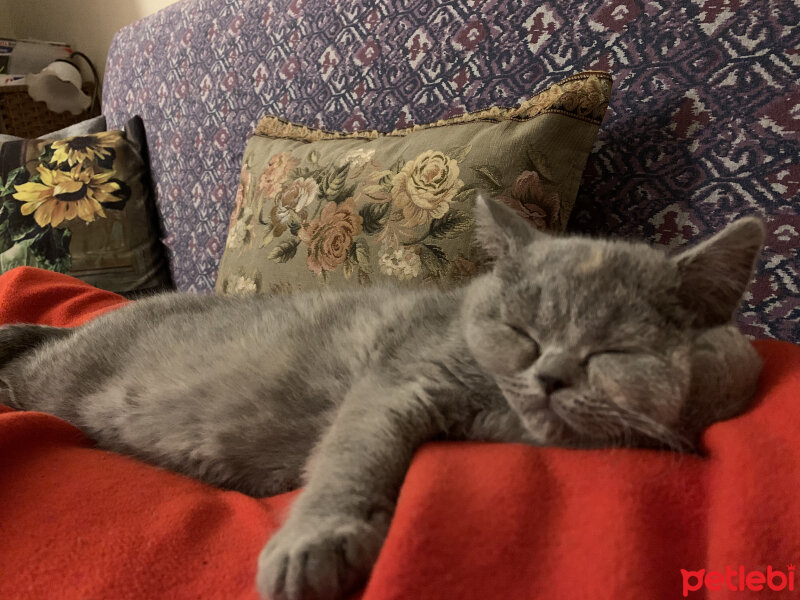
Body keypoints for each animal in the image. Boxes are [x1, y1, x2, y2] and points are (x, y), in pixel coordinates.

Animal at [0, 197, 764, 600]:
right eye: (521, 332)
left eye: (612, 353)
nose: (550, 376)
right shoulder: (400, 377)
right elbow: (353, 453)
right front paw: (311, 549)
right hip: (56, 379)